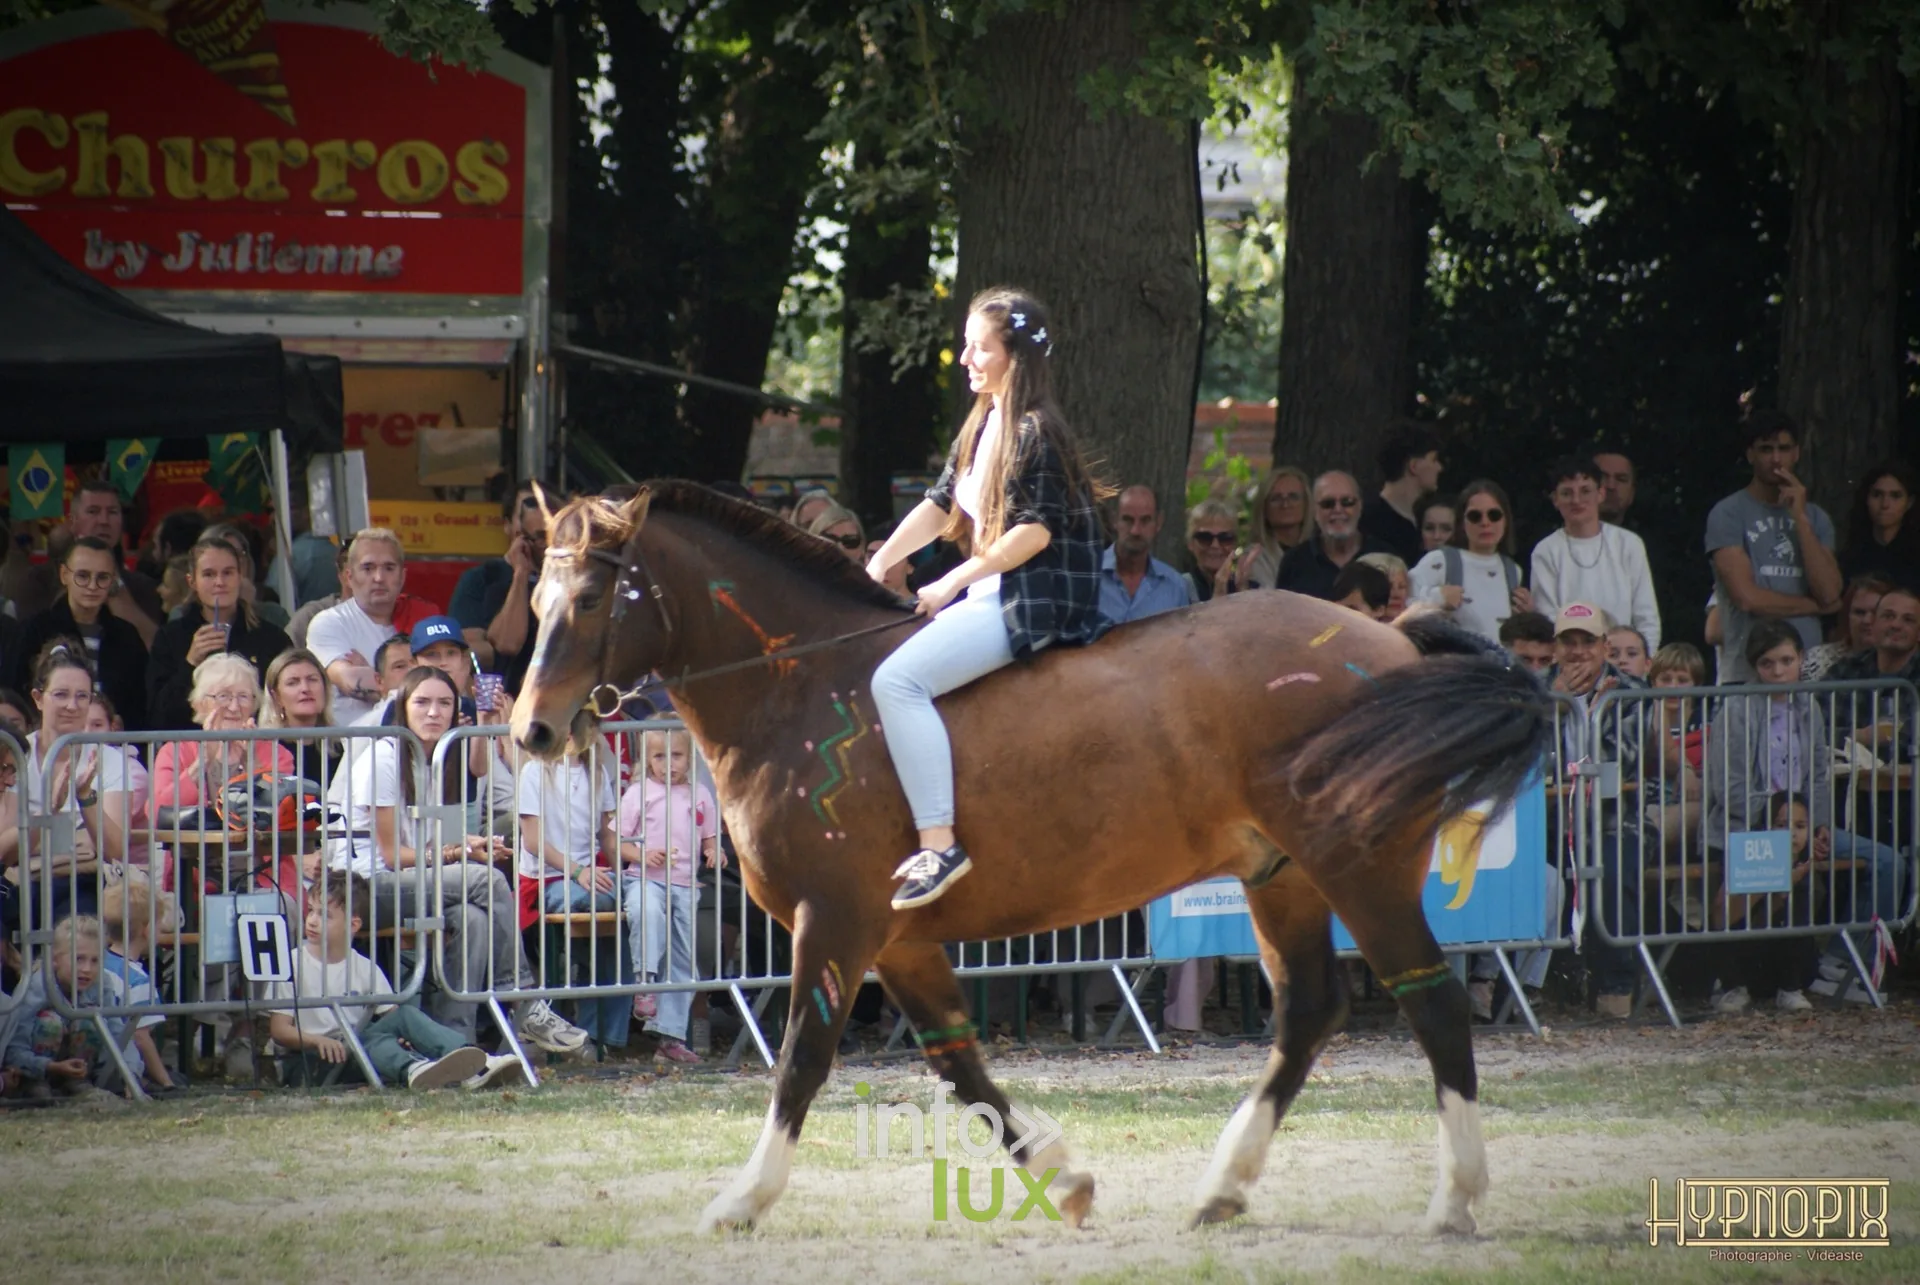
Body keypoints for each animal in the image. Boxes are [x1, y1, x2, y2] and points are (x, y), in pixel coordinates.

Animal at [511, 481, 1553, 1236]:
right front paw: (1066, 1177)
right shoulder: (897, 941)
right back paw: (1223, 1188)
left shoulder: (836, 922)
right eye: (536, 595)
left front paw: (742, 1199)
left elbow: (803, 1057)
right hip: (1283, 878)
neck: (798, 685)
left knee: (1433, 1002)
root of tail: (1390, 641)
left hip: (1360, 870)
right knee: (1309, 1010)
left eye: (593, 596)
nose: (531, 730)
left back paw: (1454, 1198)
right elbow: (960, 1065)